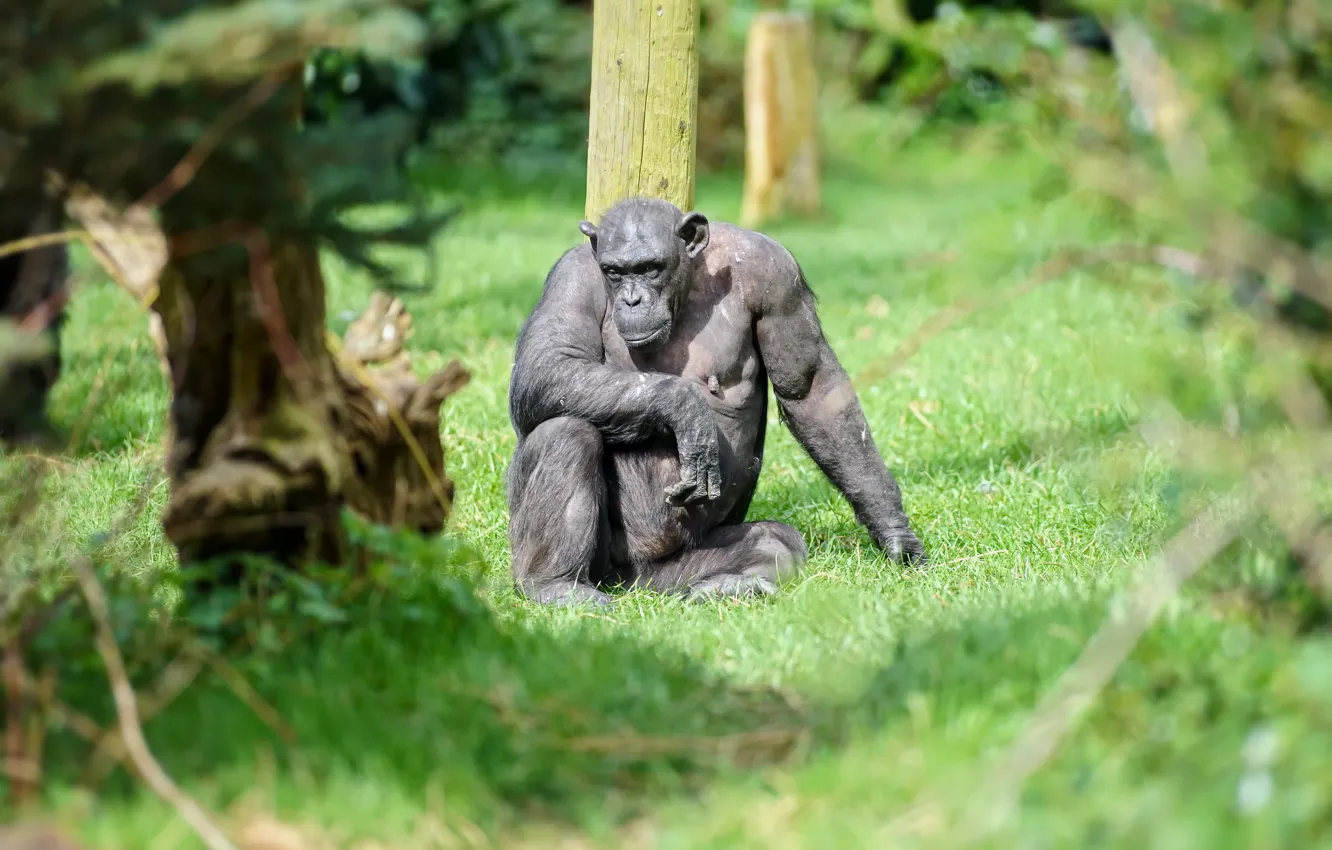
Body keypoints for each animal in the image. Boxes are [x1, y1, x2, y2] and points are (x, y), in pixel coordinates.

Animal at [505, 196, 926, 605]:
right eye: (614, 272)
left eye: (650, 268)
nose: (631, 299)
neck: (689, 279)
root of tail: (634, 581)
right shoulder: (570, 278)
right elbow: (547, 365)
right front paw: (686, 410)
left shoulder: (776, 274)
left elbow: (810, 390)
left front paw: (894, 531)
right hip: (598, 562)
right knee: (565, 432)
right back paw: (555, 585)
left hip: (674, 569)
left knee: (776, 543)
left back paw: (728, 587)